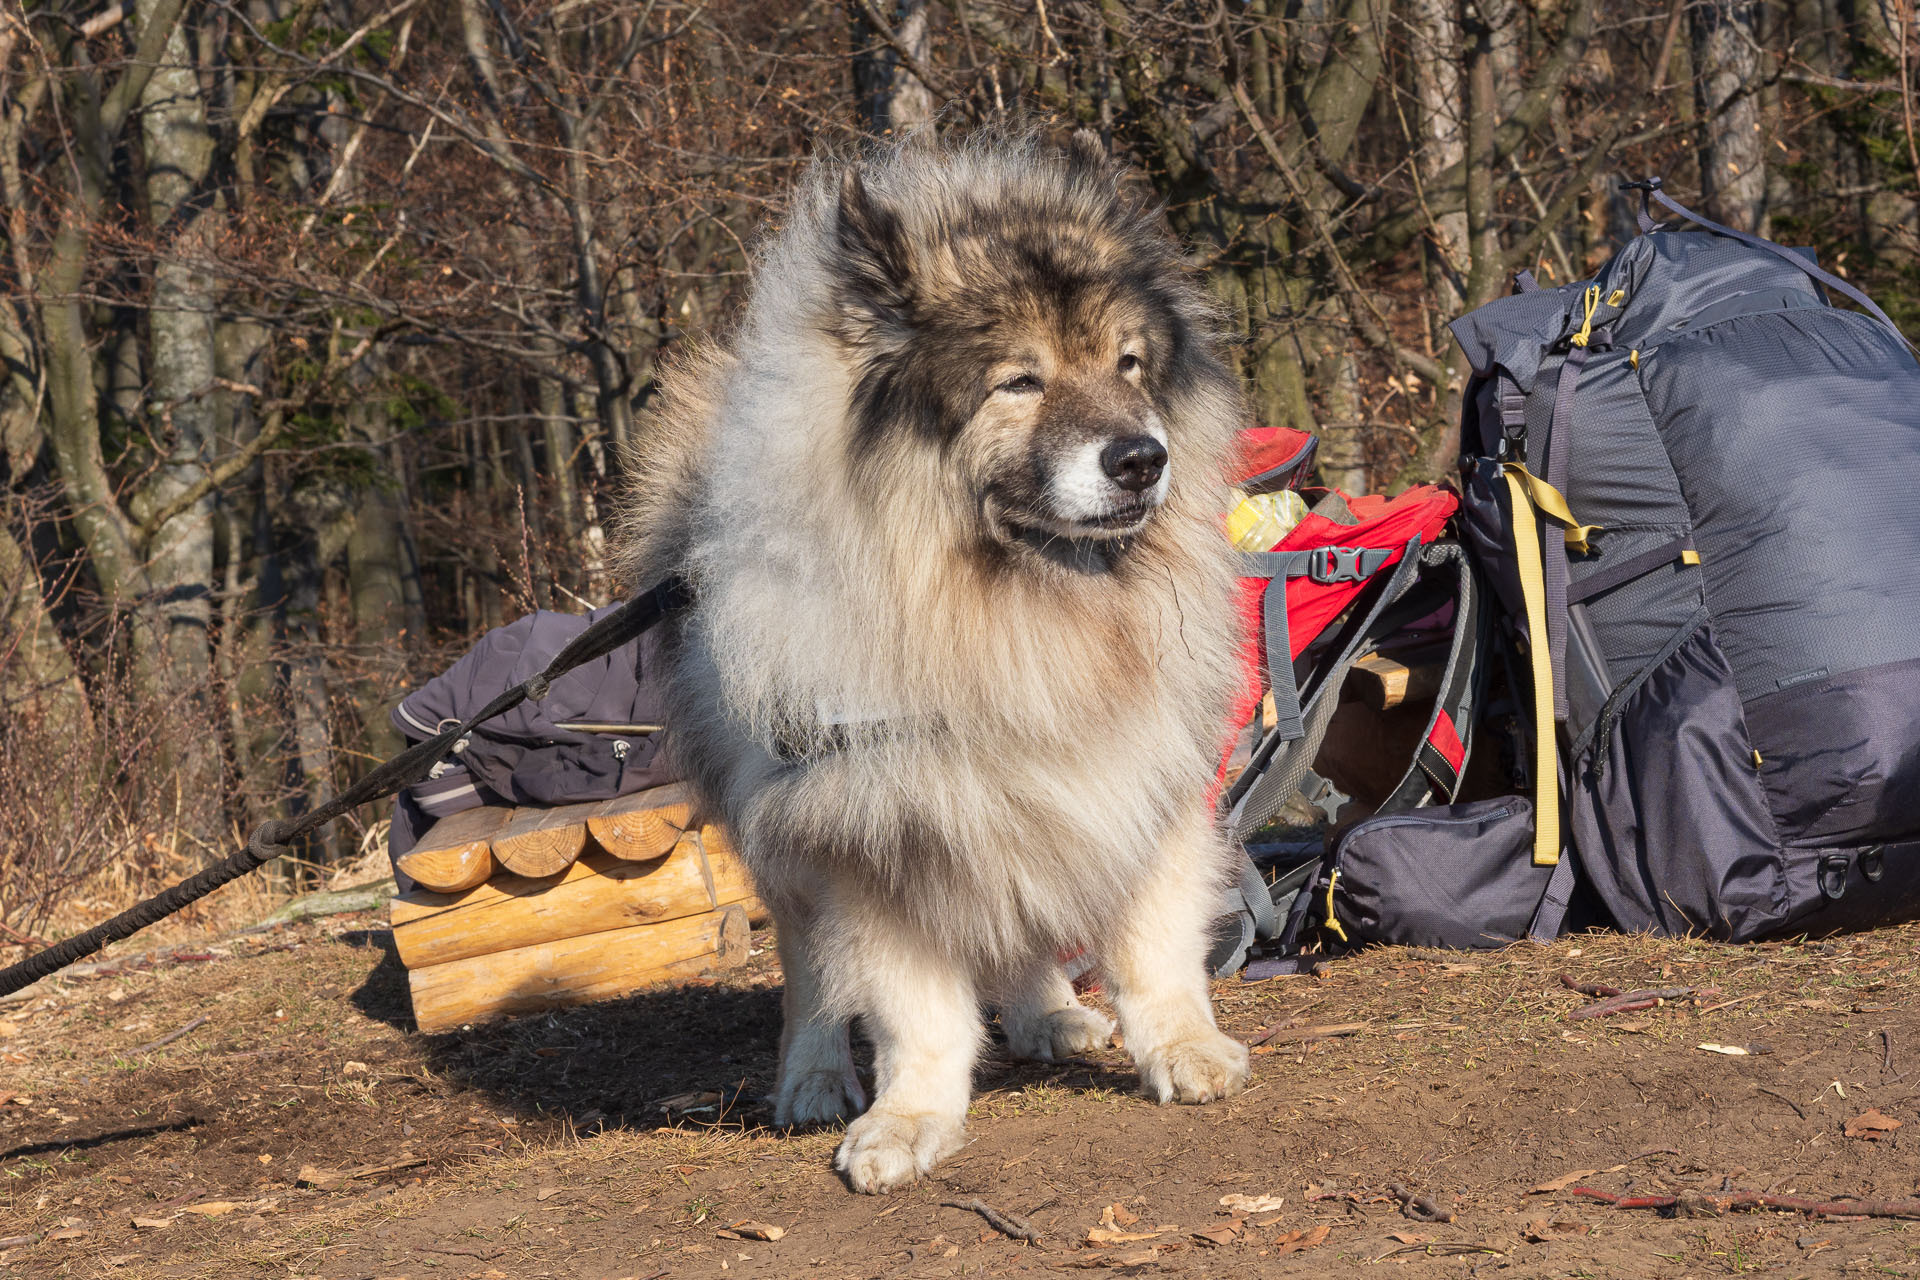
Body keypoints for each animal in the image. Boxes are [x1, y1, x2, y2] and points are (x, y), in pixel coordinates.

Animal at [622, 127, 1251, 1189]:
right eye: (1019, 381)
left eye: (1128, 365)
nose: (1141, 458)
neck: (1015, 605)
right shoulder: (875, 824)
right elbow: (911, 1005)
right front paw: (908, 1117)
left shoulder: (1135, 770)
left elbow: (1154, 938)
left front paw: (1181, 1046)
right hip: (788, 840)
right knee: (809, 973)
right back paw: (814, 1078)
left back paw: (1049, 1014)